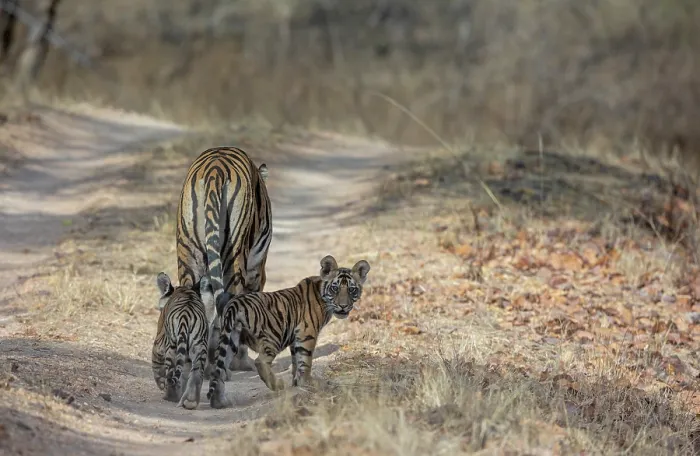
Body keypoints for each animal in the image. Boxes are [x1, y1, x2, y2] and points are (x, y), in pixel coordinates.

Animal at [152, 272, 211, 410]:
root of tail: (186, 316)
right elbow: (185, 374)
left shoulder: (159, 343)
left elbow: (156, 365)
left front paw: (161, 383)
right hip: (199, 347)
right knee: (196, 374)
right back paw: (191, 402)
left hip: (172, 346)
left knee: (170, 372)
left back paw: (169, 395)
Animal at [175, 146, 273, 378]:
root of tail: (215, 169)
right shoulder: (257, 271)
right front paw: (241, 362)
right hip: (234, 258)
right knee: (229, 308)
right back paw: (219, 367)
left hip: (188, 255)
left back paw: (191, 365)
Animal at [207, 254, 371, 409]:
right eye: (335, 288)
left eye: (352, 289)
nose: (343, 306)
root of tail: (236, 302)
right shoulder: (307, 333)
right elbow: (305, 360)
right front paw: (308, 382)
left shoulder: (295, 337)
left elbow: (295, 361)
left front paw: (296, 382)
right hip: (274, 336)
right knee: (260, 361)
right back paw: (278, 384)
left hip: (231, 339)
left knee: (219, 369)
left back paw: (219, 401)